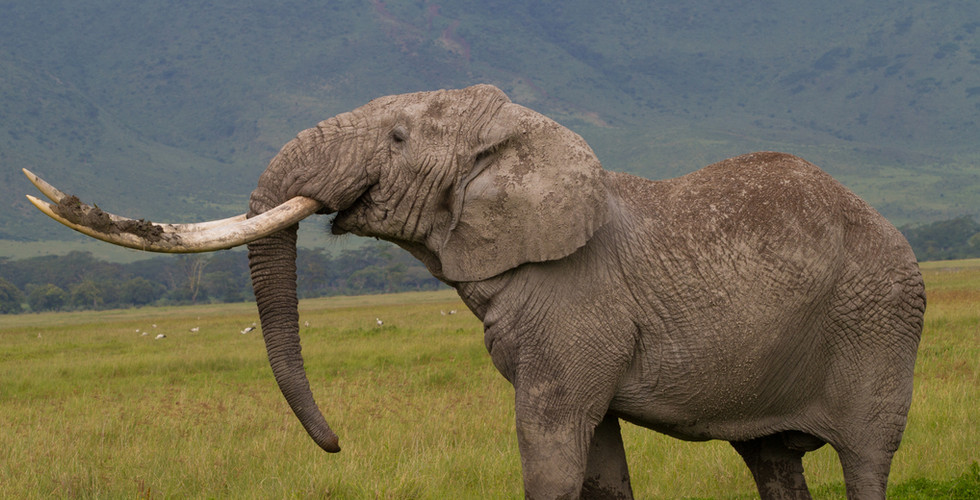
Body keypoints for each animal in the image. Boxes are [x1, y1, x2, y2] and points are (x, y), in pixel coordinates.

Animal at [26, 84, 925, 499]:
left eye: (395, 137)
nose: (337, 444)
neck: (518, 134)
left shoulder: (576, 310)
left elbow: (551, 445)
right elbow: (597, 463)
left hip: (882, 321)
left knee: (865, 458)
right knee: (772, 461)